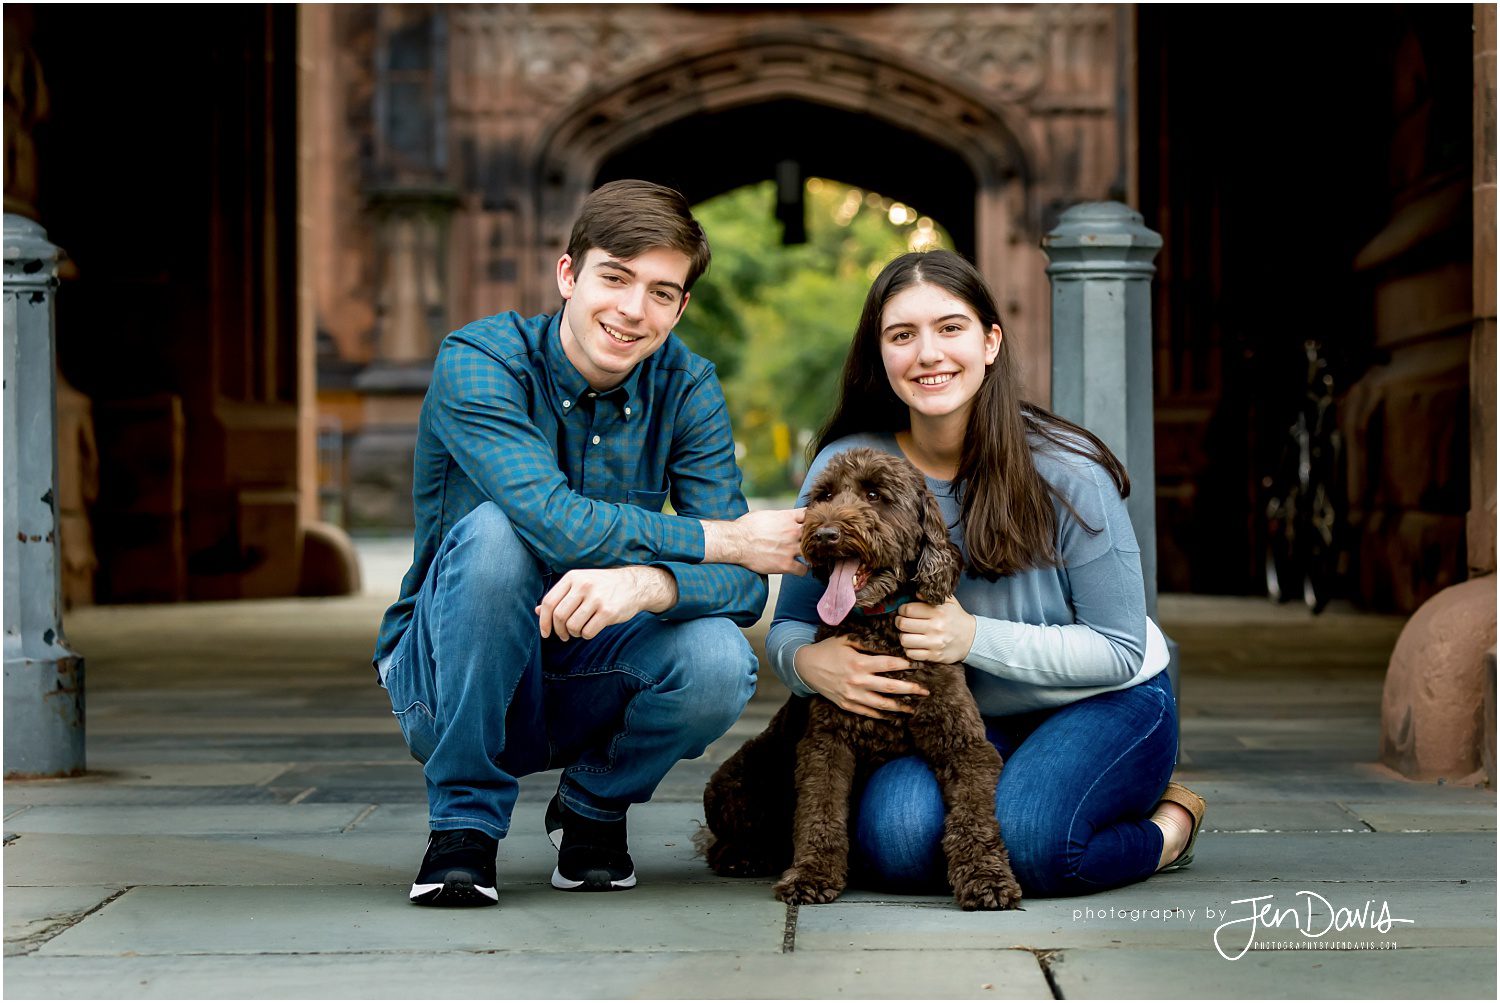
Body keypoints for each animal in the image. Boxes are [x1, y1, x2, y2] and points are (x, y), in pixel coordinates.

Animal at [696, 446, 1026, 905]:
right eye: (825, 495)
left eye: (874, 494)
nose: (826, 534)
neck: (878, 628)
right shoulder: (827, 744)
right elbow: (820, 812)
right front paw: (812, 875)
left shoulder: (963, 744)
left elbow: (974, 816)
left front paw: (987, 877)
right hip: (735, 782)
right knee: (720, 840)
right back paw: (743, 857)